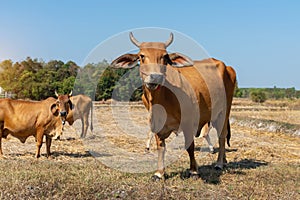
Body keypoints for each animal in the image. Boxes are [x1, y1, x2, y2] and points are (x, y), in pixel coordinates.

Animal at [110, 31, 237, 180]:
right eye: (141, 56)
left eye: (165, 57)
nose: (155, 77)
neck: (162, 97)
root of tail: (226, 66)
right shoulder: (156, 123)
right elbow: (161, 147)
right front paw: (159, 173)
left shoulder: (188, 122)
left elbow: (190, 146)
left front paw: (193, 171)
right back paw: (224, 160)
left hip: (224, 112)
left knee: (222, 136)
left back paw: (219, 163)